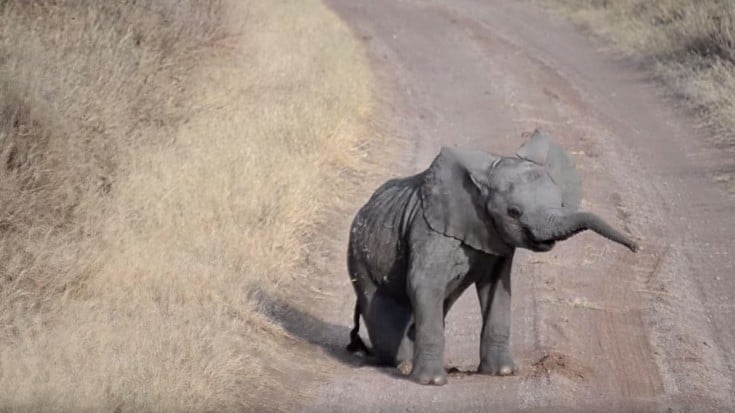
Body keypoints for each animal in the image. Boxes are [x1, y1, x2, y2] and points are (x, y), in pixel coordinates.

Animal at [344, 129, 640, 384]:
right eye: (513, 212)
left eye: (561, 203)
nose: (637, 247)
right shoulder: (429, 230)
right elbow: (424, 284)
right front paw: (432, 381)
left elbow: (497, 290)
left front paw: (503, 372)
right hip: (361, 259)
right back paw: (403, 364)